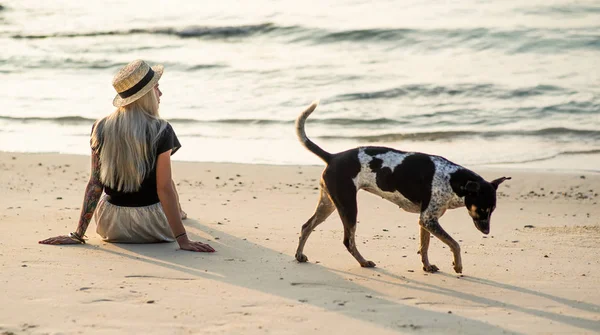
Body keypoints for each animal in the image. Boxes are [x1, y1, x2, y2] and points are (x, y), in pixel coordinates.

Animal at [292, 101, 508, 272]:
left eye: (492, 210)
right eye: (482, 209)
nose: (487, 232)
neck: (452, 180)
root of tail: (333, 157)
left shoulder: (425, 220)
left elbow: (425, 246)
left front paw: (427, 266)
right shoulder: (428, 219)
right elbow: (454, 244)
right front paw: (457, 265)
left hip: (329, 203)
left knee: (306, 226)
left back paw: (300, 255)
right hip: (348, 206)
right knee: (348, 240)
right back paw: (363, 262)